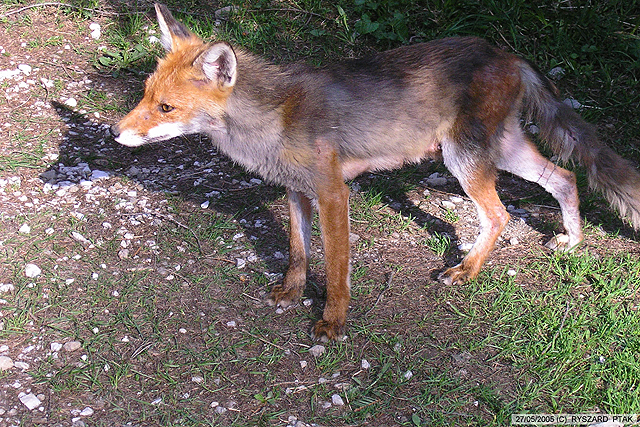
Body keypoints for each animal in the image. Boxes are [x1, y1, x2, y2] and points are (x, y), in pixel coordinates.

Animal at [112, 4, 640, 342]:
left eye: (165, 107)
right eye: (144, 94)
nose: (115, 133)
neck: (272, 119)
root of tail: (503, 52)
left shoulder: (332, 192)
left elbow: (336, 268)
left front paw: (332, 324)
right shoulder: (296, 190)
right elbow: (299, 252)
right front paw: (292, 292)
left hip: (463, 159)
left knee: (501, 214)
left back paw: (466, 270)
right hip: (502, 150)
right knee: (565, 178)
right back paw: (572, 240)